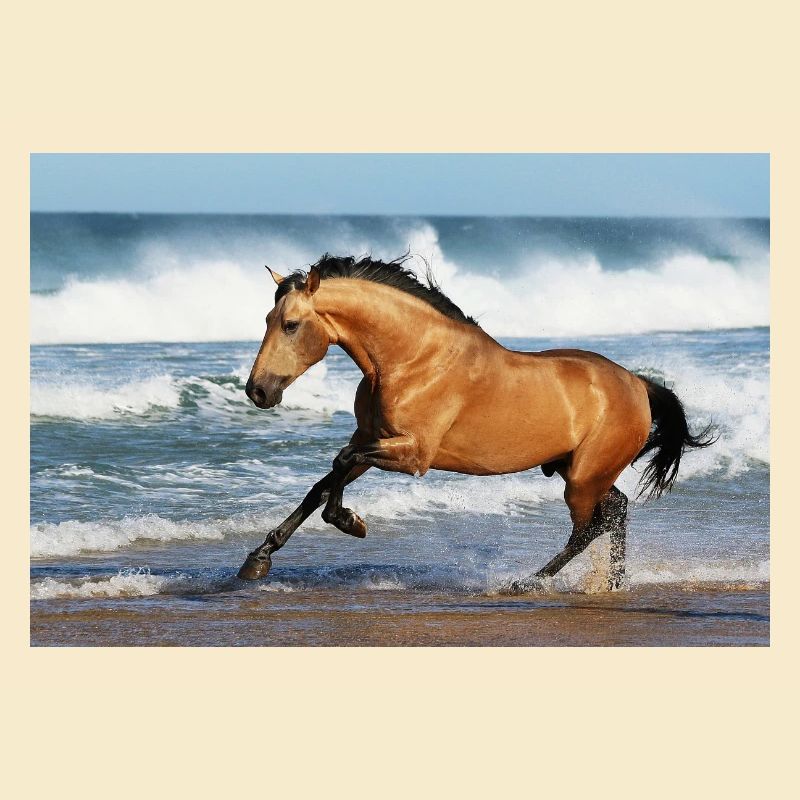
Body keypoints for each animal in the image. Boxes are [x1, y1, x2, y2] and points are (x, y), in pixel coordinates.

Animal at [238, 254, 714, 590]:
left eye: (290, 324)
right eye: (267, 320)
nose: (257, 391)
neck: (412, 359)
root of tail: (637, 383)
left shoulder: (412, 454)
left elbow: (339, 462)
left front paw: (349, 521)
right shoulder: (374, 439)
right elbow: (322, 483)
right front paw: (258, 559)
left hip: (583, 478)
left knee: (591, 527)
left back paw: (529, 582)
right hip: (575, 468)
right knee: (616, 511)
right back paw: (612, 582)